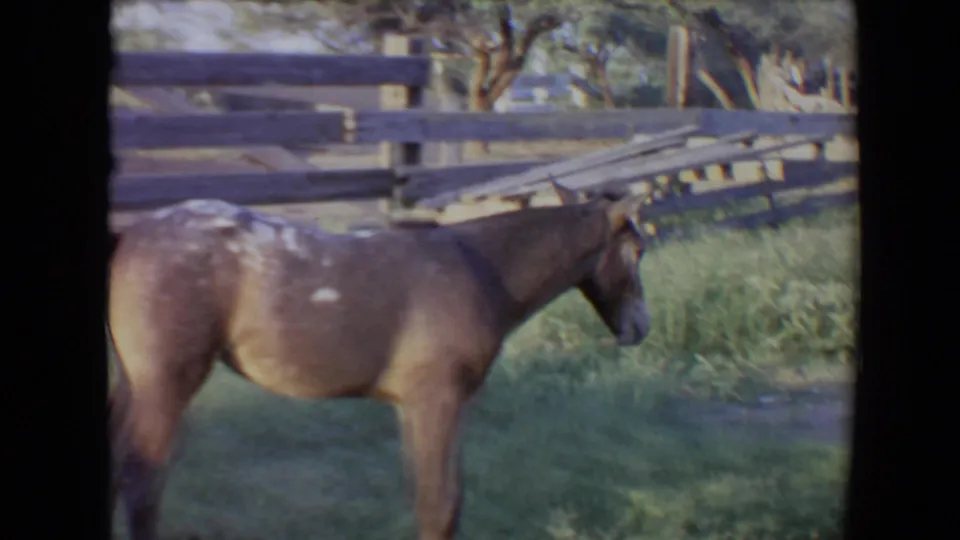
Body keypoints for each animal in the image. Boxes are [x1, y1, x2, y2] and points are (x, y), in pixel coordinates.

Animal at [108, 181, 652, 540]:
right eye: (638, 249)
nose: (640, 327)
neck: (477, 269)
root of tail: (130, 236)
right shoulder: (437, 399)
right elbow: (441, 506)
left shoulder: (410, 405)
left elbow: (428, 499)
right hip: (166, 383)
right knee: (141, 480)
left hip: (132, 381)